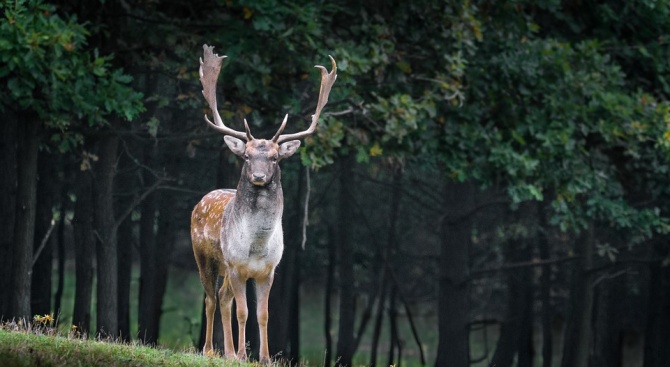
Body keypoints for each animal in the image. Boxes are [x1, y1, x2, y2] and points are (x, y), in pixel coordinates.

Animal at [190, 43, 336, 366]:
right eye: (246, 156)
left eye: (274, 157)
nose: (258, 176)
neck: (256, 246)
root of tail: (201, 200)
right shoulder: (236, 266)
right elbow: (244, 312)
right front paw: (244, 354)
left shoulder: (268, 271)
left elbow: (263, 314)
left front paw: (265, 357)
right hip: (204, 257)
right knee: (210, 298)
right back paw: (210, 349)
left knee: (223, 298)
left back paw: (227, 351)